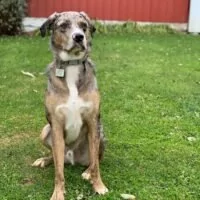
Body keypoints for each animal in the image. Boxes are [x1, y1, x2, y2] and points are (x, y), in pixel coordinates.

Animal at [32, 11, 108, 199]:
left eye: (83, 26)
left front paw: (99, 186)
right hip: (45, 131)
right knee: (56, 158)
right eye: (64, 25)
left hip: (101, 133)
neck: (71, 66)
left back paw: (87, 172)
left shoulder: (93, 121)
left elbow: (96, 164)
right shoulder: (56, 125)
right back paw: (44, 160)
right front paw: (58, 193)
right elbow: (58, 171)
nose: (79, 37)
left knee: (95, 159)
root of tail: (72, 159)